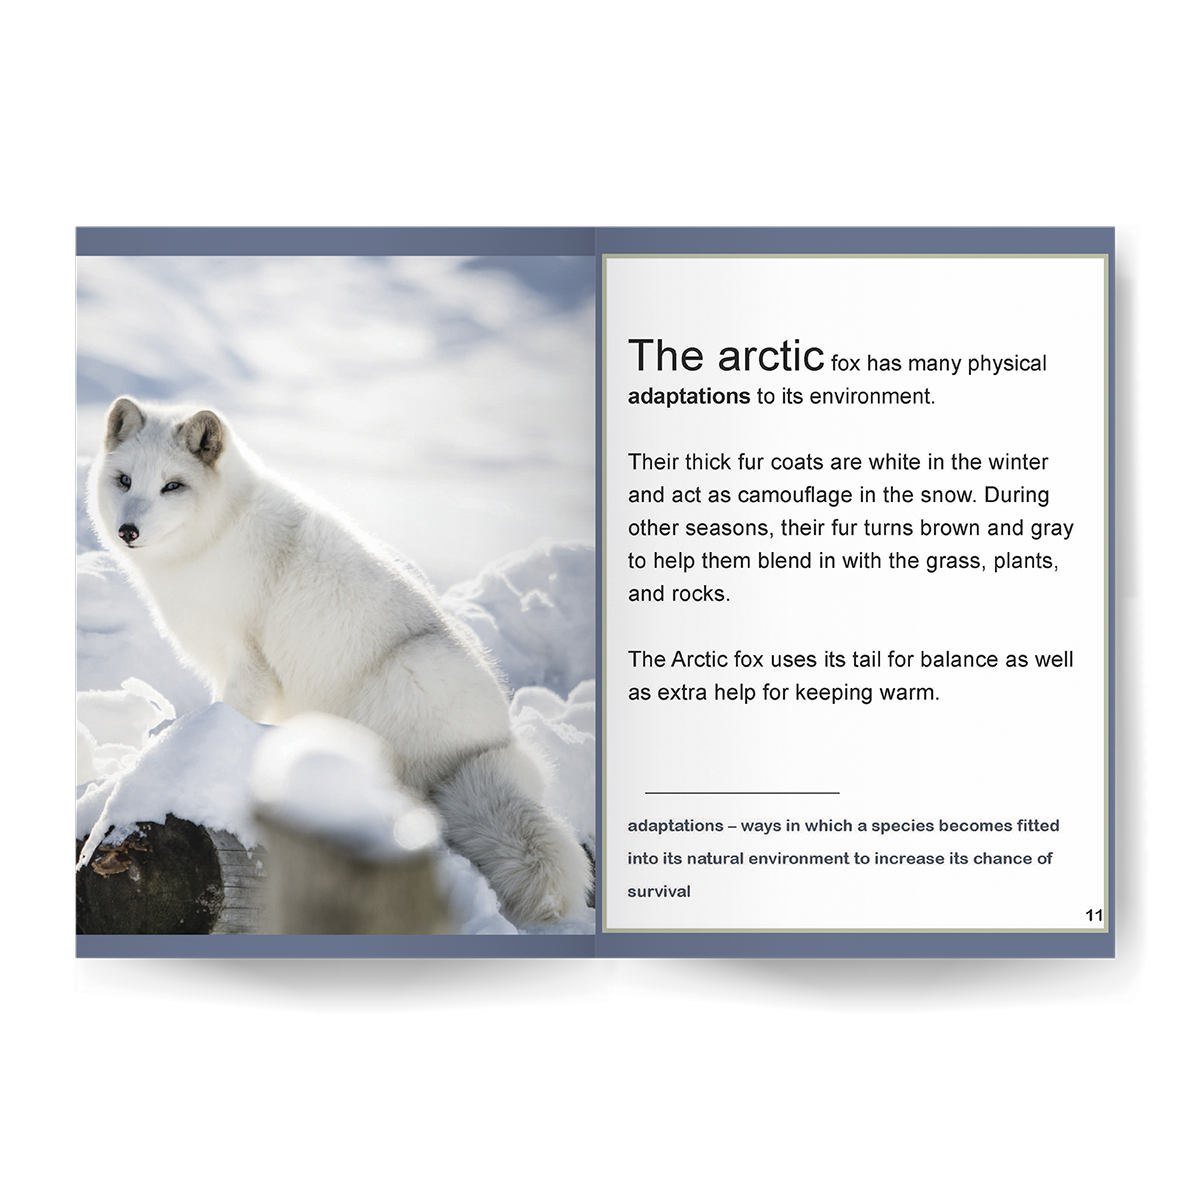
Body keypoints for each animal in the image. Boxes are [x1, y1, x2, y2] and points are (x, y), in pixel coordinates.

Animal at [87, 395, 592, 926]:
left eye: (173, 486)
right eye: (124, 480)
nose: (127, 530)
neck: (218, 534)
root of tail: (493, 744)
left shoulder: (250, 664)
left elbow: (227, 715)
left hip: (403, 680)